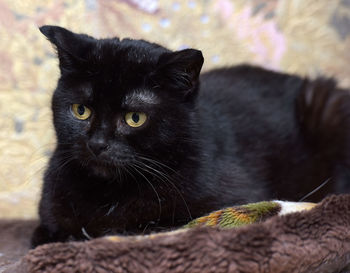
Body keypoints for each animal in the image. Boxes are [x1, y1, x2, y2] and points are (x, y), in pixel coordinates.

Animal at [31, 25, 350, 246]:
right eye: (81, 110)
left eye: (135, 118)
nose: (97, 144)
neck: (109, 194)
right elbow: (46, 235)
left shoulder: (232, 202)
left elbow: (145, 227)